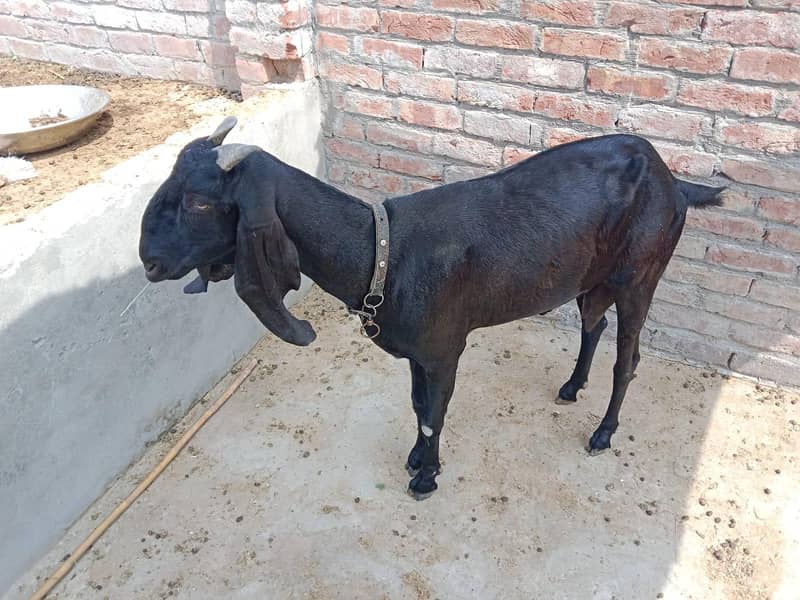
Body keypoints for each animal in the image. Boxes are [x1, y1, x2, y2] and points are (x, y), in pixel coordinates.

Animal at [139, 117, 723, 499]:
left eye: (199, 201)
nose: (149, 261)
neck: (382, 251)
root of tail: (674, 181)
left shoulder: (444, 350)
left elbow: (434, 414)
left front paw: (425, 477)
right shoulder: (418, 355)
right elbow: (419, 409)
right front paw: (418, 461)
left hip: (640, 275)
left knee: (628, 358)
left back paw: (603, 433)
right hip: (592, 277)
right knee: (593, 325)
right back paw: (572, 386)